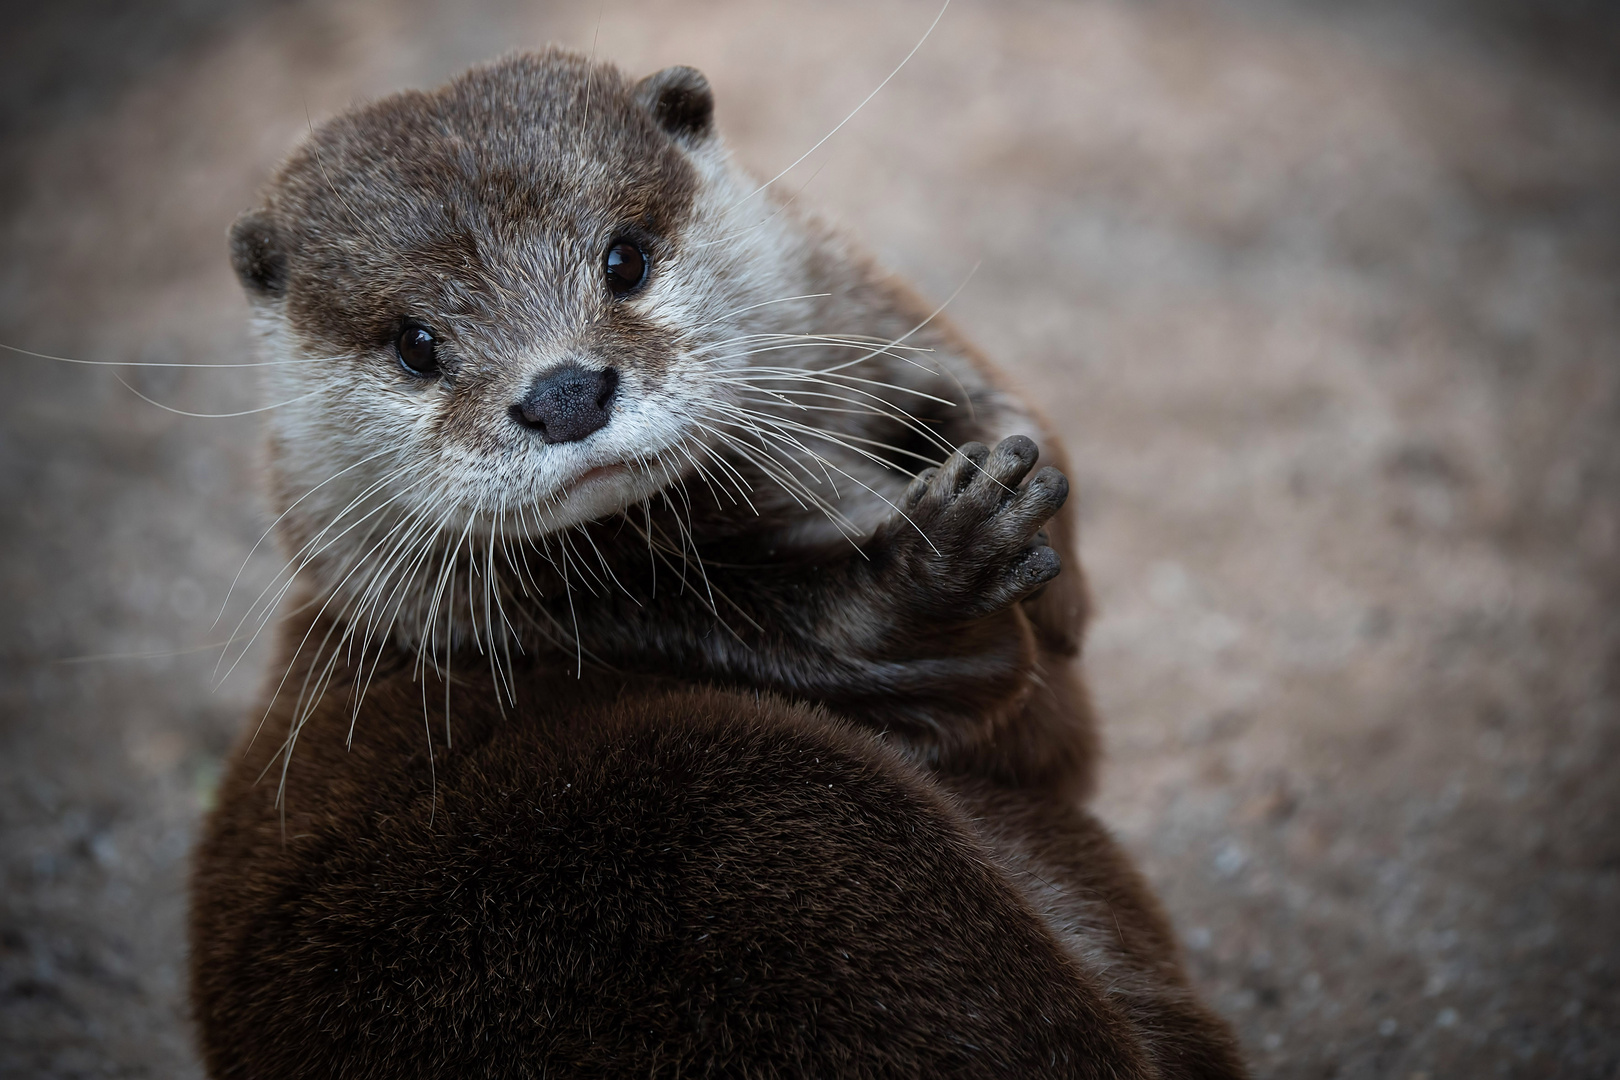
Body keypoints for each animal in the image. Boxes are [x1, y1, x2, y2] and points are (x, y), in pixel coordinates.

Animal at [192, 46, 1250, 1075]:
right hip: (768, 812)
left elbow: (974, 395)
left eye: (624, 259)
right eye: (415, 344)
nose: (565, 391)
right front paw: (931, 579)